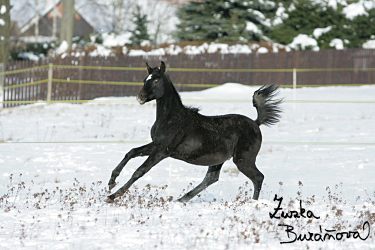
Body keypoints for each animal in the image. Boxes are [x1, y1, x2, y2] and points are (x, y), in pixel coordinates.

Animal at [106, 61, 282, 203]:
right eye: (145, 79)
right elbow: (131, 152)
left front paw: (113, 195)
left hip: (243, 160)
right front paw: (111, 182)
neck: (171, 118)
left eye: (156, 80)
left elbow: (140, 171)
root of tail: (256, 123)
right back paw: (181, 199)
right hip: (218, 159)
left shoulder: (162, 150)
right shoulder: (156, 145)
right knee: (211, 178)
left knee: (258, 177)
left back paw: (253, 203)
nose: (140, 97)